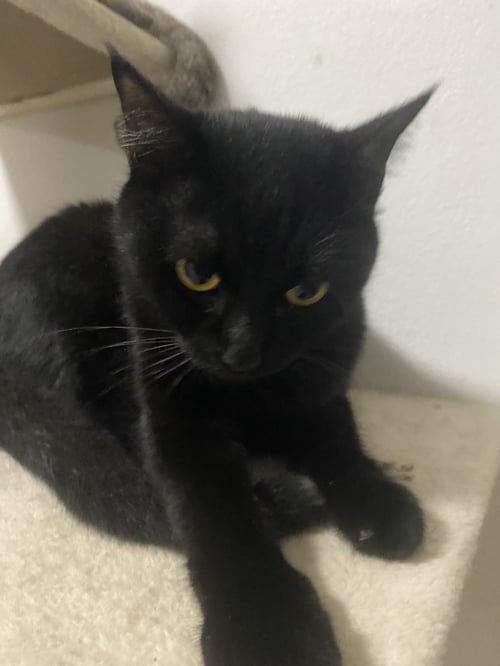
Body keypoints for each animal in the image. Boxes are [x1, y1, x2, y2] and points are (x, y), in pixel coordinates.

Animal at [0, 51, 431, 665]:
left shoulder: (324, 379)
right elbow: (213, 514)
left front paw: (378, 503)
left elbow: (339, 440)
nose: (242, 350)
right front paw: (269, 631)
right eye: (196, 274)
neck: (253, 397)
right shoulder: (176, 422)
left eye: (307, 291)